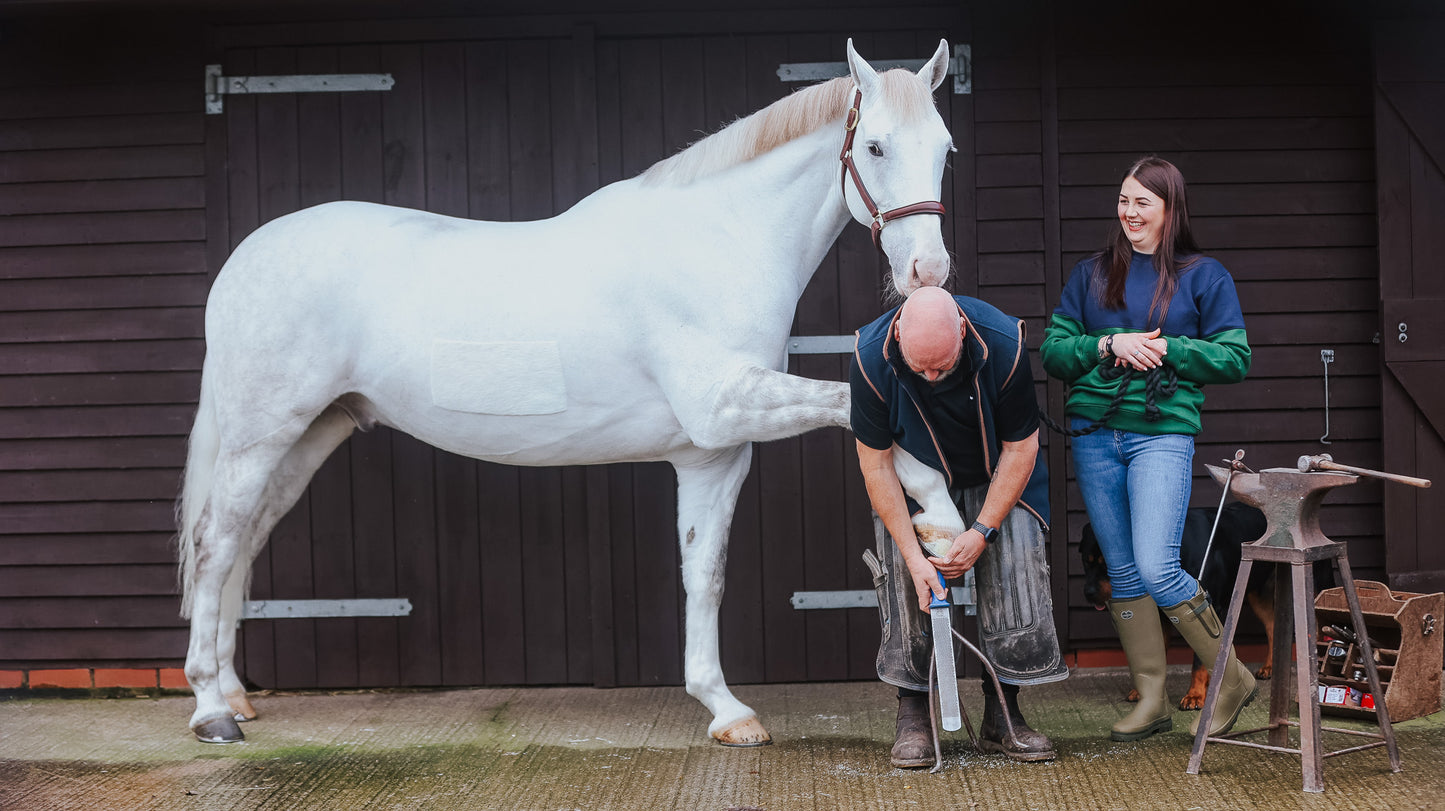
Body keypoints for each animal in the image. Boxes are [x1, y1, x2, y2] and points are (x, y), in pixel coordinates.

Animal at [177, 41, 959, 745]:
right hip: (260, 437)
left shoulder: (713, 453)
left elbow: (703, 573)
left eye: (945, 149)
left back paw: (238, 694)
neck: (718, 244)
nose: (928, 271)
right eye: (877, 146)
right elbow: (854, 413)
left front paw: (726, 710)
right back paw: (211, 709)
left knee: (246, 539)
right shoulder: (728, 404)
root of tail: (243, 261)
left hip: (309, 435)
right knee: (217, 543)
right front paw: (942, 520)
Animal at [1075, 500, 1277, 708]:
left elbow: (1199, 660)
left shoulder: (1205, 608)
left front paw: (1195, 695)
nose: (1089, 593)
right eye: (1086, 561)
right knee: (1271, 624)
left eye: (1109, 566)